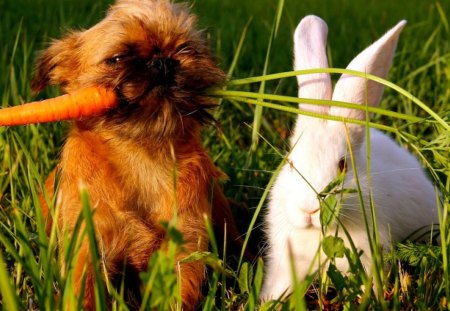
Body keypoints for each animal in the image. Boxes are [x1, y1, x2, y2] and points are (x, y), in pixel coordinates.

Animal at [32, 0, 239, 310]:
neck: (143, 154)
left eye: (186, 49)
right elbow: (84, 294)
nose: (163, 61)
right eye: (118, 58)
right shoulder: (87, 246)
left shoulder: (184, 245)